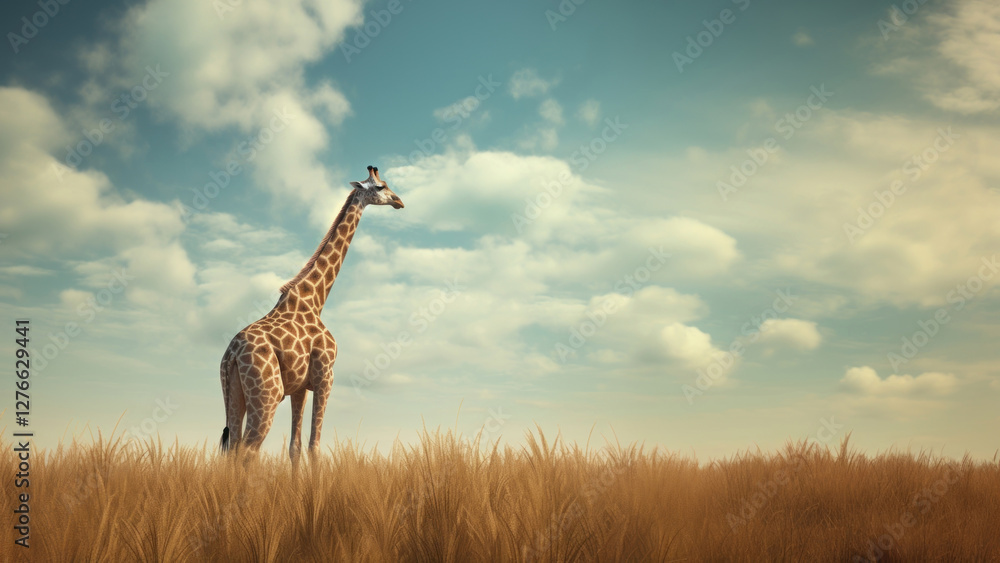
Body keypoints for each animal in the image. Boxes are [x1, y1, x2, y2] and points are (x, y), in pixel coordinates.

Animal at [219, 165, 404, 465]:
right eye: (380, 186)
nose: (399, 201)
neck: (315, 299)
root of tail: (231, 355)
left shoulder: (299, 387)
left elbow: (294, 447)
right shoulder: (326, 376)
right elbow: (314, 446)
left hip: (234, 395)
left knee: (233, 448)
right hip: (267, 395)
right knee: (248, 450)